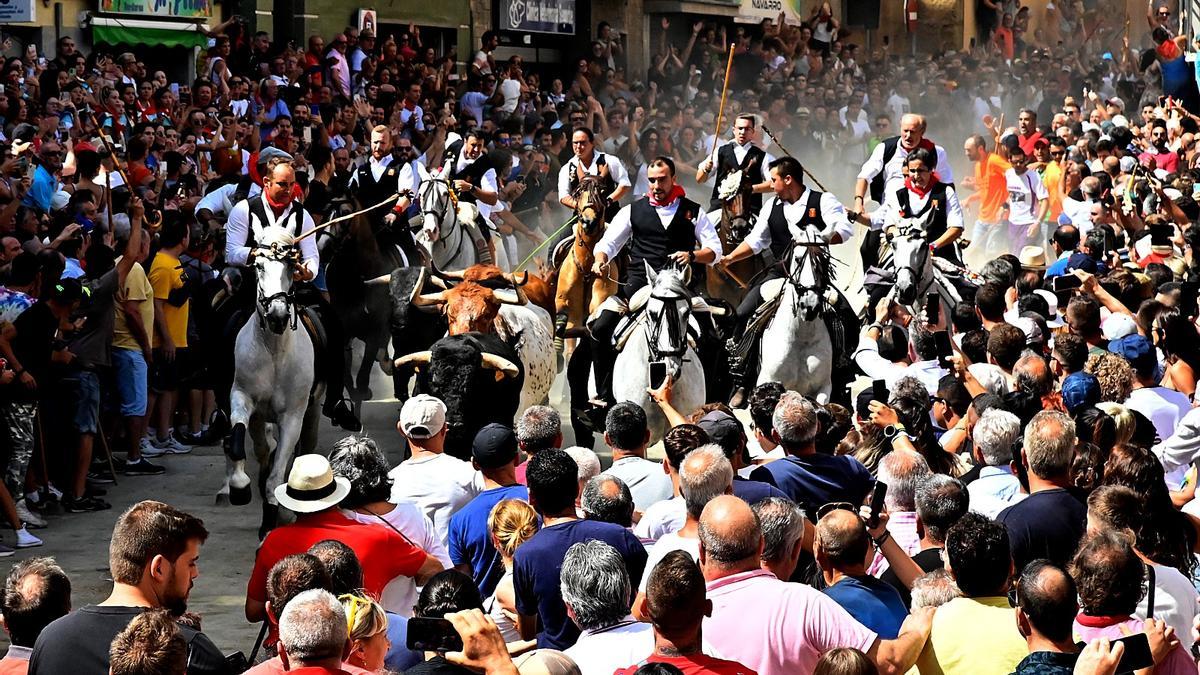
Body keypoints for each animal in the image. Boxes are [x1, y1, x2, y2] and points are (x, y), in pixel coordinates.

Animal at [220, 224, 324, 535]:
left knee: (301, 450)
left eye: (292, 265)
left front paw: (275, 519)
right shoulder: (242, 397)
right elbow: (237, 439)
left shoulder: (293, 415)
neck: (274, 350)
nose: (277, 315)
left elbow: (276, 477)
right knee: (259, 448)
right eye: (259, 266)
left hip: (313, 410)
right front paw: (239, 487)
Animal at [549, 172, 614, 362]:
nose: (588, 222)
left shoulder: (599, 301)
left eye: (602, 192)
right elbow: (562, 321)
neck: (586, 266)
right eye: (578, 194)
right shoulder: (567, 304)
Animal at [758, 225, 835, 403]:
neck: (801, 338)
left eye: (825, 260)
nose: (810, 306)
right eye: (798, 259)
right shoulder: (766, 382)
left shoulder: (824, 387)